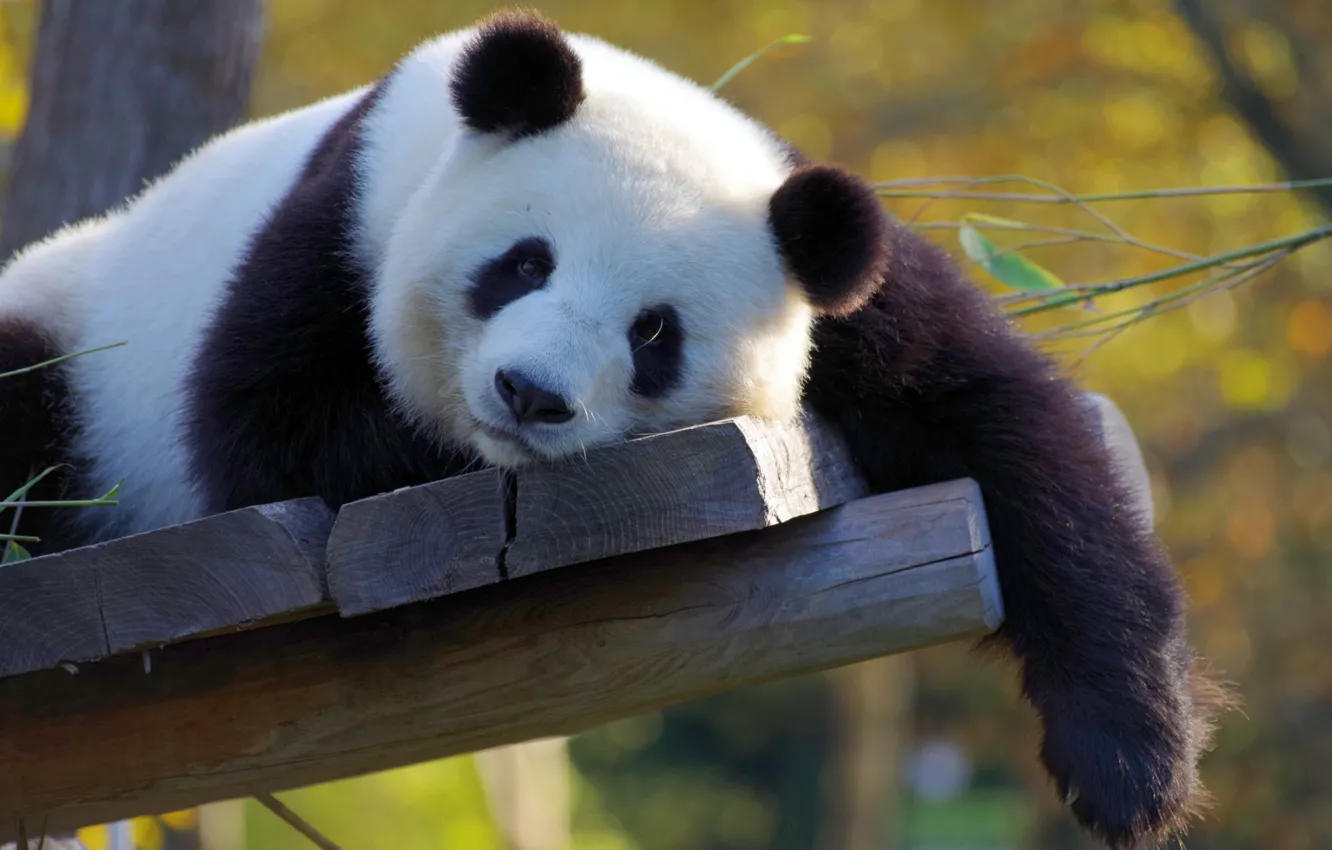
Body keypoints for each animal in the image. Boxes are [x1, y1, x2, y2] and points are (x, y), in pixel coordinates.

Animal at [0, 10, 1222, 848]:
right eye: (523, 262)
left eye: (654, 333)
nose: (529, 394)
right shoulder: (341, 218)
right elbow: (268, 424)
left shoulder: (835, 279)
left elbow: (1008, 425)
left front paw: (1133, 768)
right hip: (75, 339)